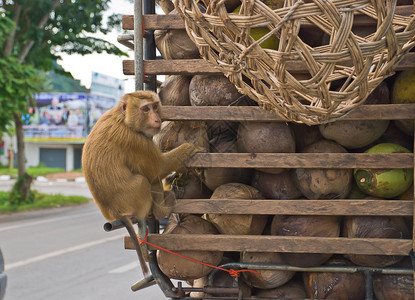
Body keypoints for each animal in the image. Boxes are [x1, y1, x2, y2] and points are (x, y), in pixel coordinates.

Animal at [81, 90, 202, 278]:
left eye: (155, 106)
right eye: (145, 109)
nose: (157, 119)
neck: (123, 119)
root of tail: (115, 213)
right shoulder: (136, 140)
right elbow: (158, 169)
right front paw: (188, 147)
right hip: (133, 199)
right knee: (145, 180)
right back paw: (161, 210)